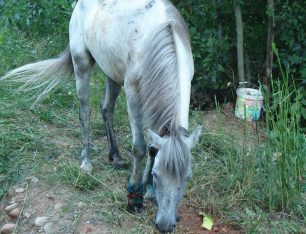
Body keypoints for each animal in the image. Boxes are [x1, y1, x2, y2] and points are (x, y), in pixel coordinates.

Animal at [1, 0, 202, 232]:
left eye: (187, 178)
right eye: (158, 174)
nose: (165, 225)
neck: (159, 38)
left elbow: (154, 147)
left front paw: (149, 191)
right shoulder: (133, 93)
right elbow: (140, 147)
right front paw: (134, 196)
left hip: (111, 72)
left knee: (106, 108)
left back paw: (115, 156)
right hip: (82, 65)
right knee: (85, 114)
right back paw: (86, 162)